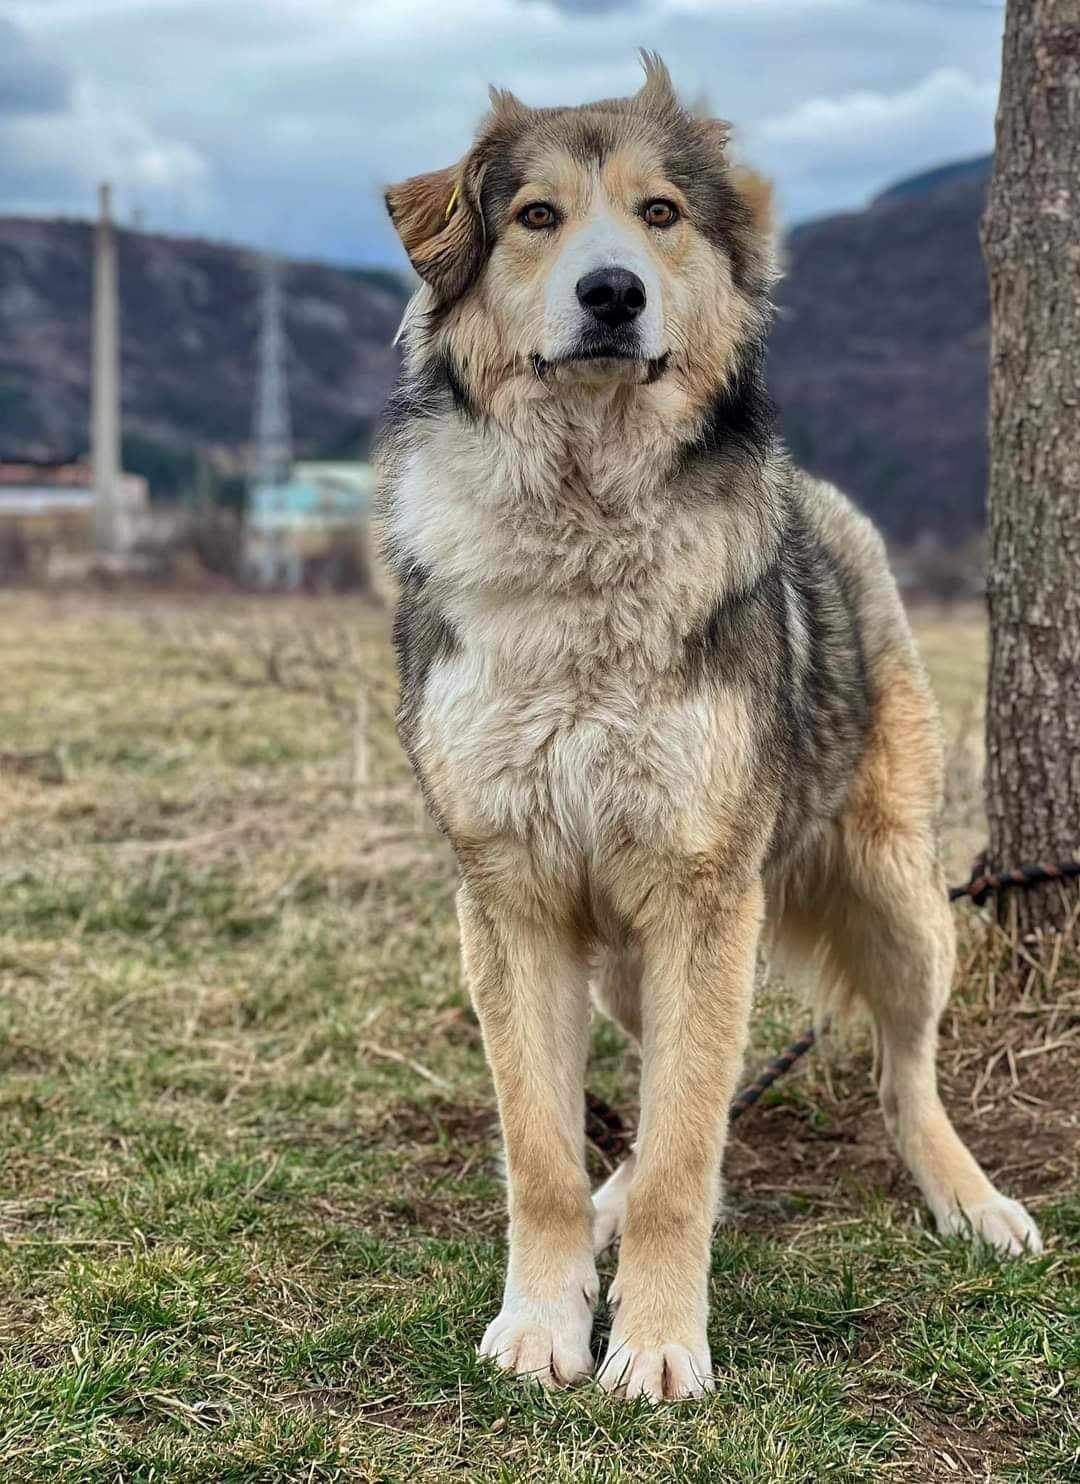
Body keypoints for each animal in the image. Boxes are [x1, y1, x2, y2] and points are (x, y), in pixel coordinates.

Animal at [375, 54, 1044, 1400]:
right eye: (537, 217)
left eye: (661, 214)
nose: (613, 292)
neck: (585, 522)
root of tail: (827, 495)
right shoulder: (512, 895)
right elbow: (542, 1148)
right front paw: (545, 1317)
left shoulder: (703, 896)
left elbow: (688, 1148)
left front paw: (659, 1342)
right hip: (636, 963)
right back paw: (607, 1208)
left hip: (898, 895)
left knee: (901, 1069)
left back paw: (969, 1196)